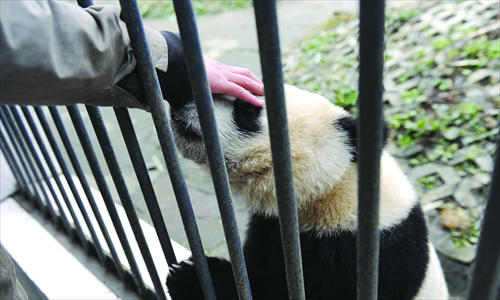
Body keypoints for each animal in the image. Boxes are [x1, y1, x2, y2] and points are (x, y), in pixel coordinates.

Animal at [165, 84, 450, 300]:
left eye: (247, 106)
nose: (181, 96)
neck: (331, 187)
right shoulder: (269, 225)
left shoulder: (360, 251)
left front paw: (190, 277)